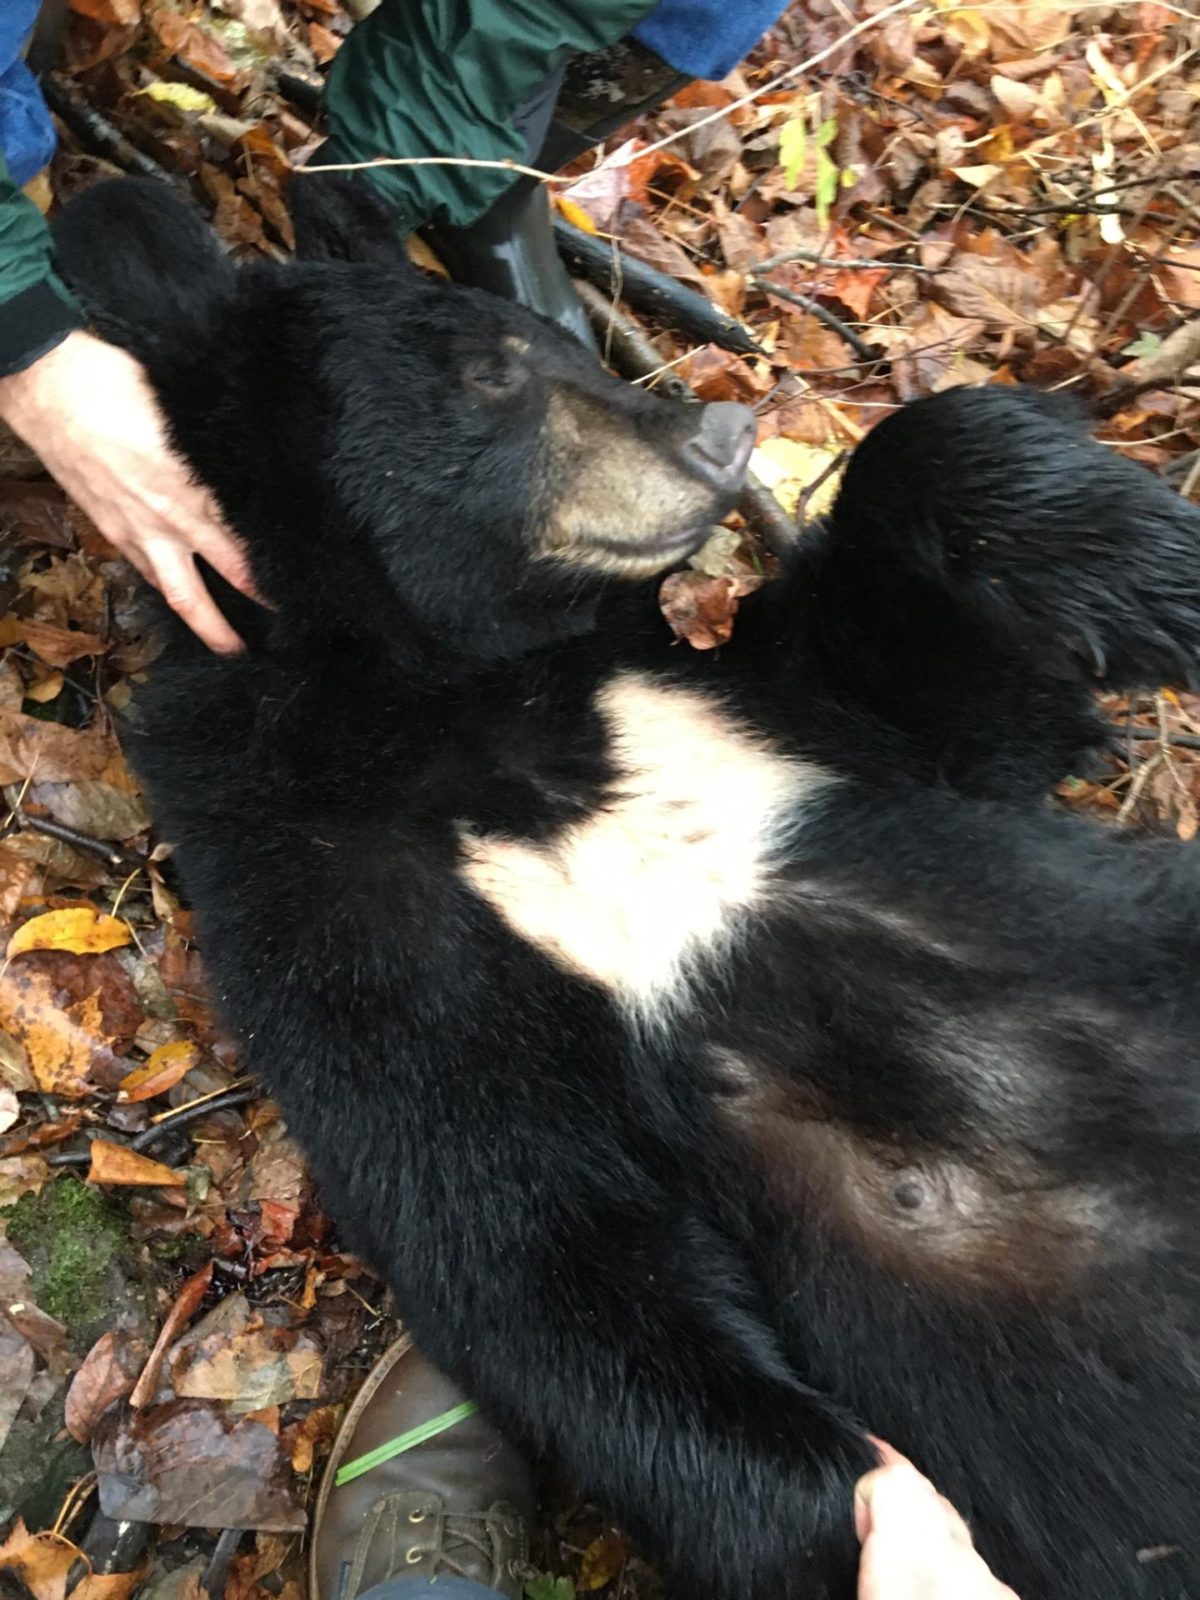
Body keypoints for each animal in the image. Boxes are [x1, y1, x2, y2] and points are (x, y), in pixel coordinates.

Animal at [51, 175, 1200, 1600]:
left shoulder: (752, 709)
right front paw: (867, 1511)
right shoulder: (320, 893)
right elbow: (518, 1222)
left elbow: (958, 683)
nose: (722, 426)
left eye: (567, 346)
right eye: (489, 372)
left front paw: (1150, 555)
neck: (465, 704)